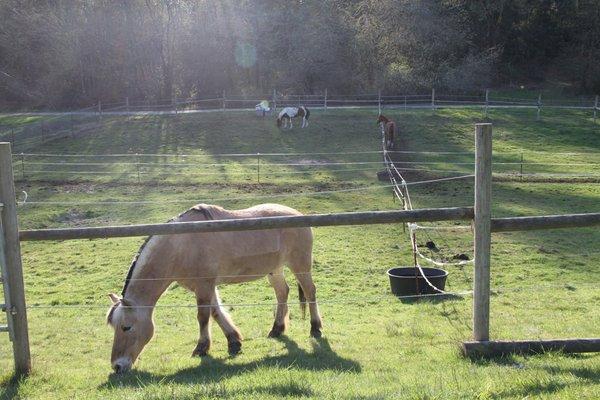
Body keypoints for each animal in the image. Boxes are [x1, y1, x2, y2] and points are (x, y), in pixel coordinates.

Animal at [108, 205, 324, 374]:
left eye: (126, 327)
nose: (117, 366)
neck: (181, 244)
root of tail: (297, 214)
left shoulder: (204, 285)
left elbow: (203, 316)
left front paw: (201, 348)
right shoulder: (205, 286)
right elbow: (216, 312)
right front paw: (234, 342)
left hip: (300, 265)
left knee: (310, 291)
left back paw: (315, 328)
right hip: (275, 270)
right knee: (282, 292)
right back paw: (277, 329)